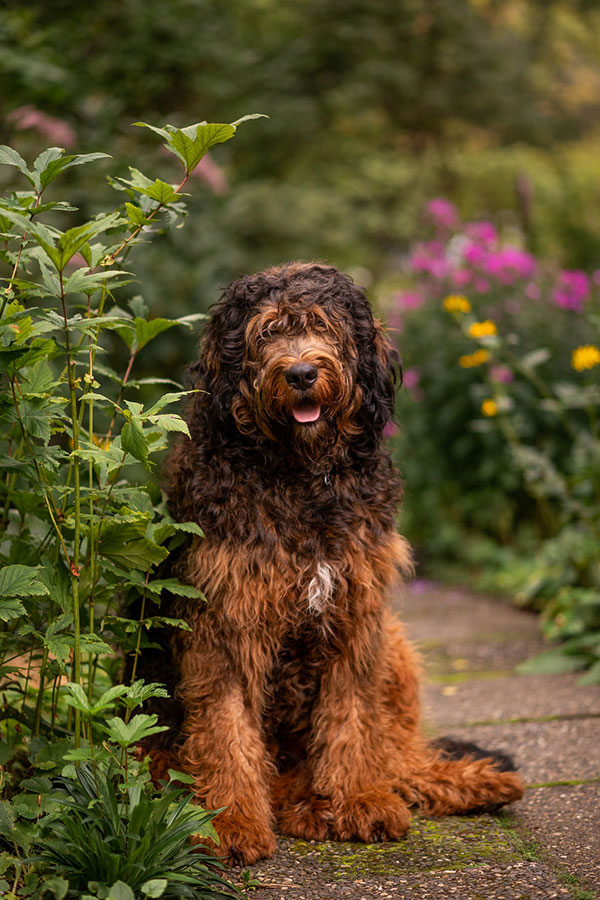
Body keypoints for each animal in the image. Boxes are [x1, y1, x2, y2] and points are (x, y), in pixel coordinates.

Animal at [152, 260, 524, 864]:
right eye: (267, 332)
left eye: (323, 326)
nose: (302, 373)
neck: (302, 475)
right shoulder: (225, 622)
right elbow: (225, 728)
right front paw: (229, 819)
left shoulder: (355, 613)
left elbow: (353, 718)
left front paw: (357, 799)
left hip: (394, 643)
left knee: (397, 757)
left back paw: (462, 781)